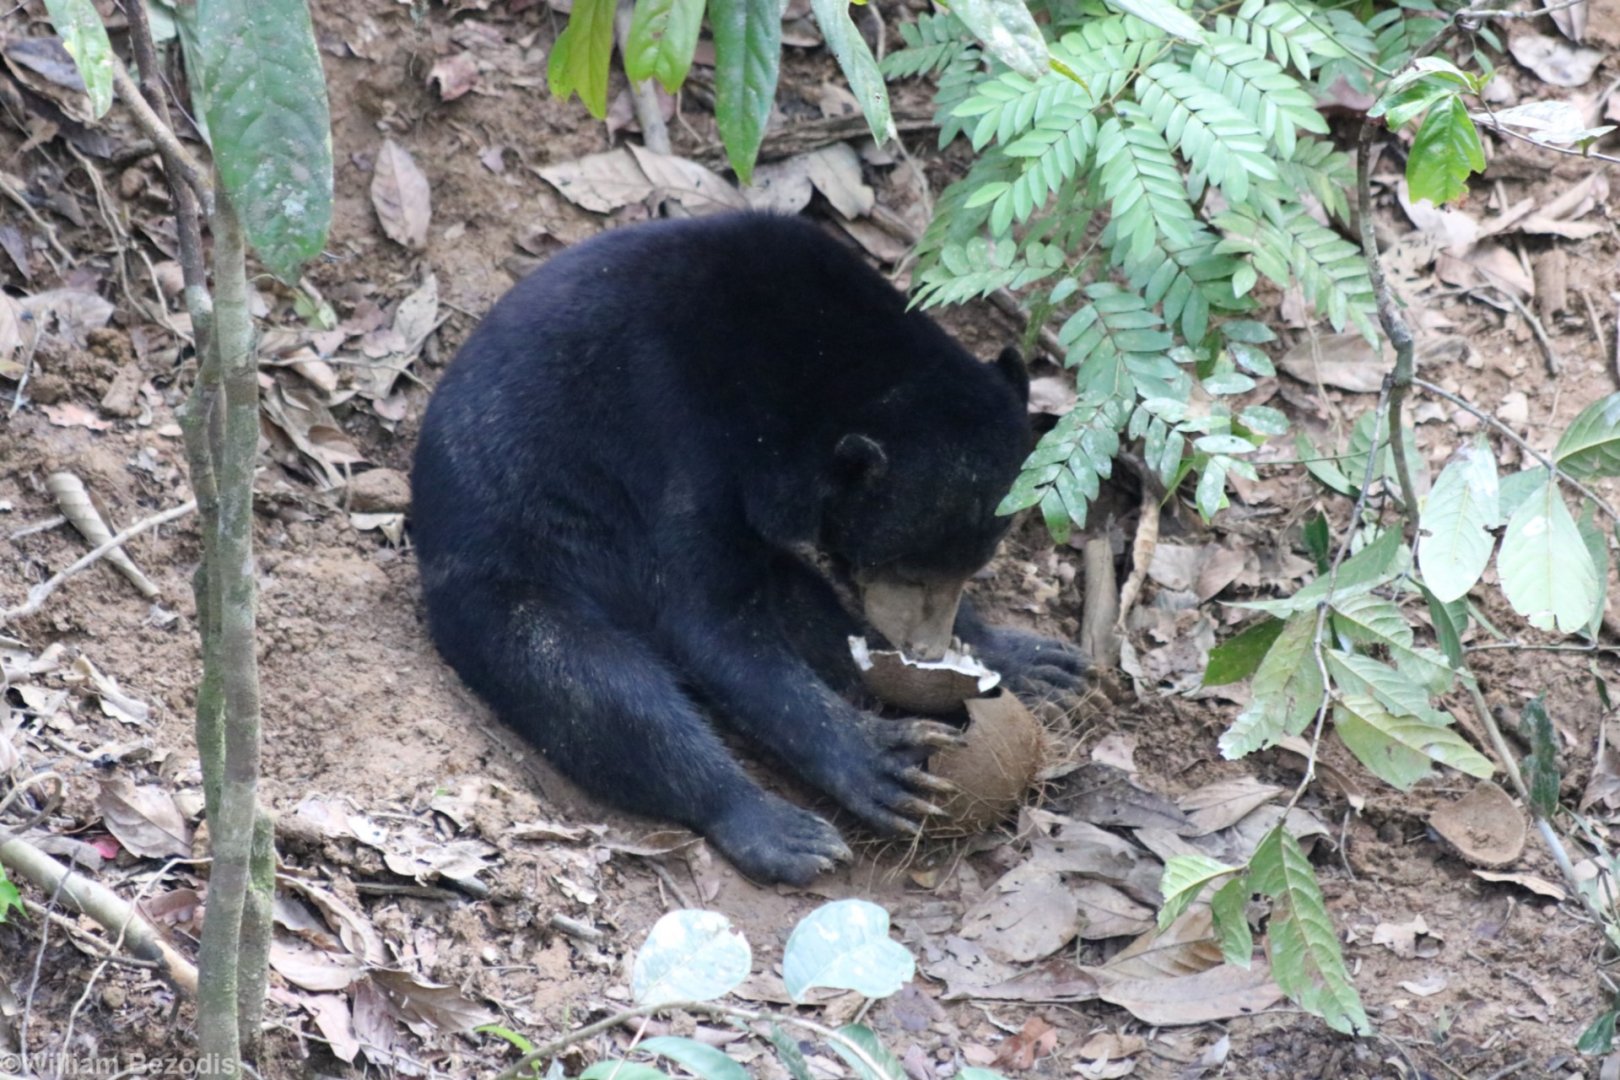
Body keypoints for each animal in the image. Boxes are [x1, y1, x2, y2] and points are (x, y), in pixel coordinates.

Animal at [411, 214, 1085, 885]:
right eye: (903, 568)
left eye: (969, 567)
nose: (924, 649)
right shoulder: (677, 436)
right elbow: (709, 625)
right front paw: (880, 760)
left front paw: (1024, 659)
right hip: (508, 569)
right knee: (592, 683)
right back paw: (780, 828)